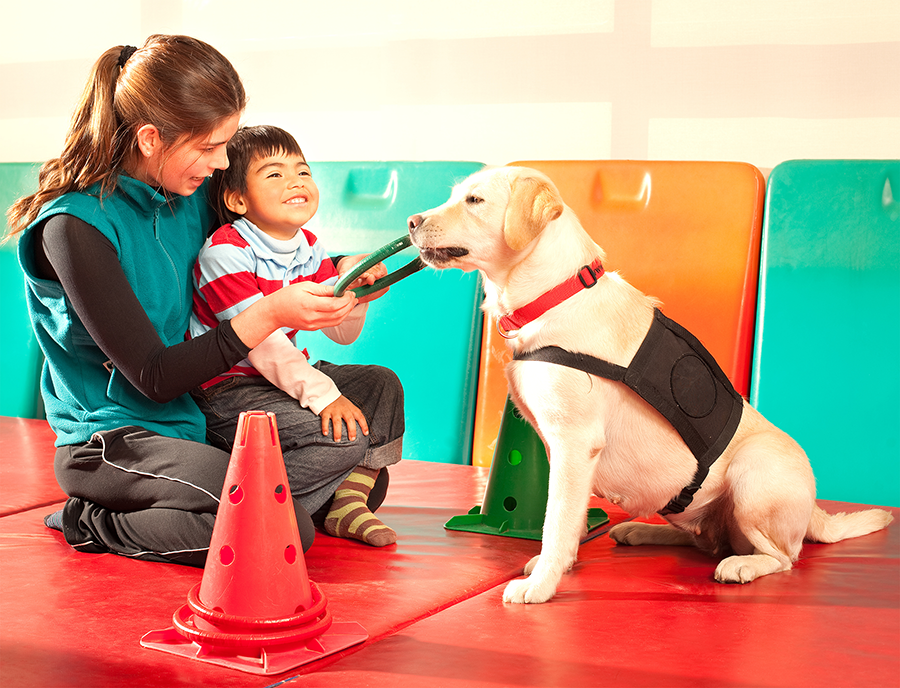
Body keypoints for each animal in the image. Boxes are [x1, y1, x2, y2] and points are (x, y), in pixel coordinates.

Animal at [408, 165, 892, 600]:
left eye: (474, 200)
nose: (411, 222)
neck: (555, 295)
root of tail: (815, 511)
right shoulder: (557, 447)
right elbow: (568, 517)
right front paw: (562, 563)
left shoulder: (573, 443)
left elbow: (556, 519)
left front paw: (542, 582)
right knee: (703, 539)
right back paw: (640, 531)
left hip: (752, 477)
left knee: (783, 558)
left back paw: (741, 564)